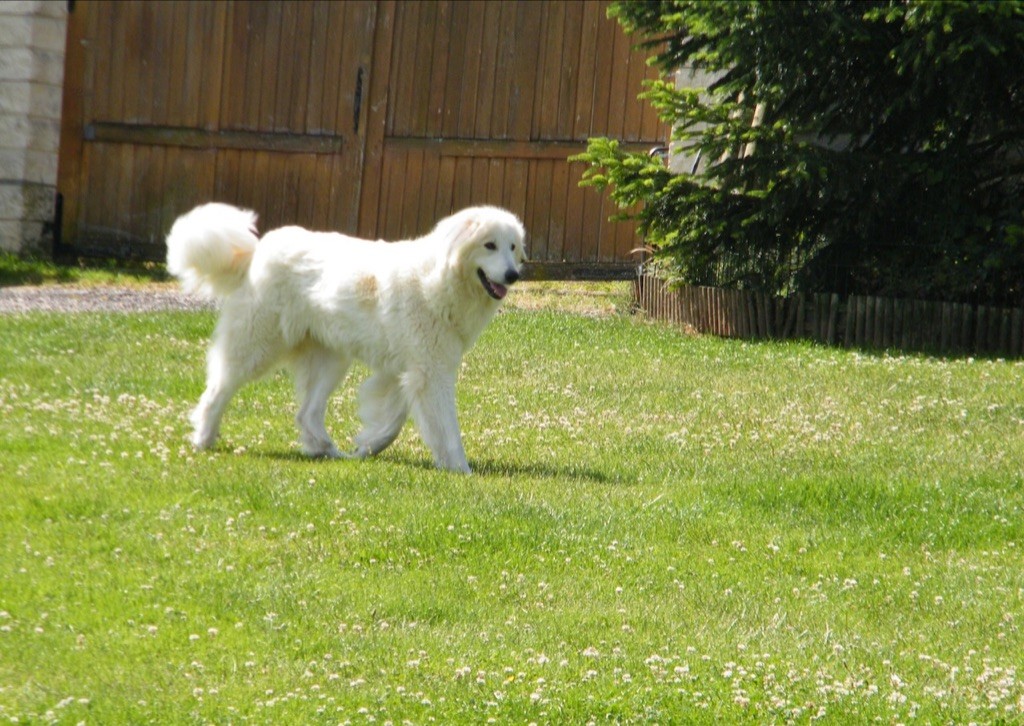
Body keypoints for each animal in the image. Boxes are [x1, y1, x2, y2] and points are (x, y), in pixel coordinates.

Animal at [165, 200, 528, 473]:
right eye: (489, 245)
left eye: (512, 247)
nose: (513, 275)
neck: (439, 280)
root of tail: (258, 252)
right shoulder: (431, 372)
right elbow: (447, 428)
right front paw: (462, 470)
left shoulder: (408, 371)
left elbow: (392, 420)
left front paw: (368, 445)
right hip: (258, 347)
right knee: (218, 389)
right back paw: (203, 438)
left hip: (331, 361)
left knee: (307, 412)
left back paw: (326, 450)